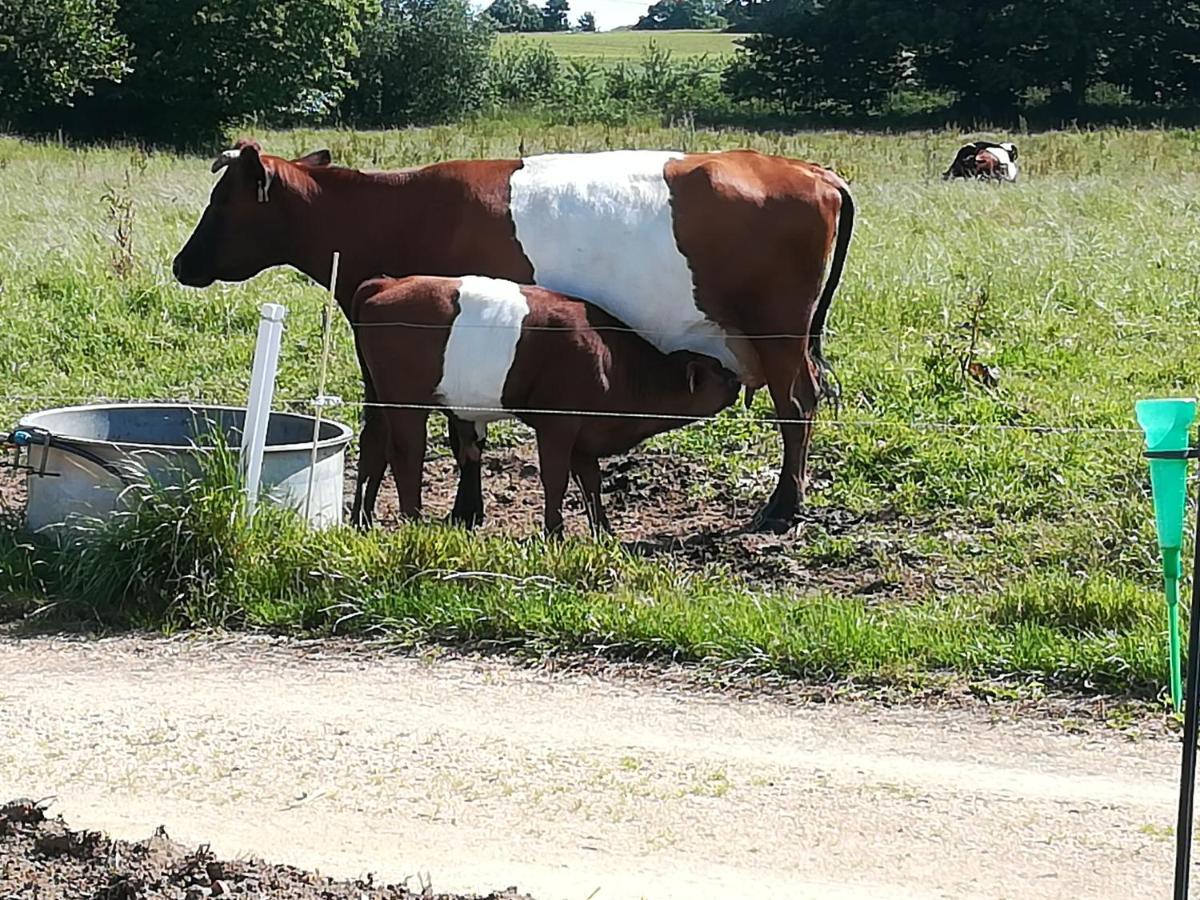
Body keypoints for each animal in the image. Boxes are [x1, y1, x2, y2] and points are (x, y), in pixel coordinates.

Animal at [350, 274, 739, 540]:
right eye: (718, 373)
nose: (737, 378)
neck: (612, 363)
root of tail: (386, 284)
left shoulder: (584, 436)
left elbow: (591, 481)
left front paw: (605, 533)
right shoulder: (558, 424)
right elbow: (556, 478)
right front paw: (555, 533)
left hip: (377, 393)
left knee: (373, 448)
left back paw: (361, 521)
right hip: (405, 401)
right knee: (406, 454)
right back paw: (413, 521)